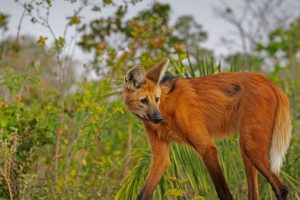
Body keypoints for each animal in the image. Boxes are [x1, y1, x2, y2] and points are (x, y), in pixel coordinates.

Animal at [122, 58, 290, 200]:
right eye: (144, 101)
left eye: (156, 99)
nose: (158, 119)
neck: (165, 106)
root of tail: (271, 83)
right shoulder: (160, 157)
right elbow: (144, 193)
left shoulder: (207, 149)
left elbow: (223, 192)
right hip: (246, 148)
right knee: (254, 193)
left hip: (251, 146)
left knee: (281, 188)